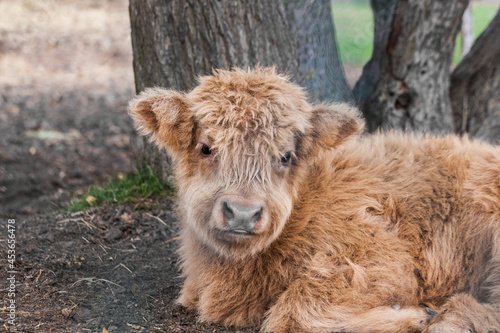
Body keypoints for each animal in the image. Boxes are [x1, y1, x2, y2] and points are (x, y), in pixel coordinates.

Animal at [131, 67, 500, 332]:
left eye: (285, 156)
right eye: (206, 148)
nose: (242, 213)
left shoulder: (385, 262)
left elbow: (292, 313)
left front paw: (417, 316)